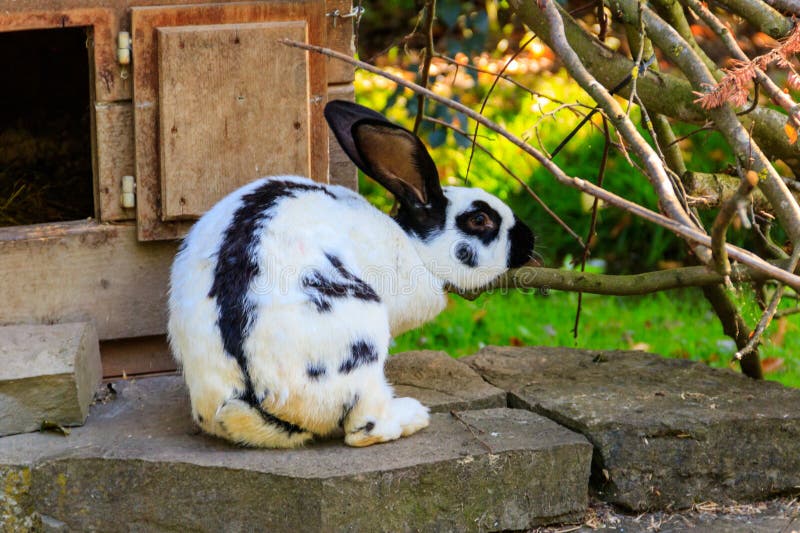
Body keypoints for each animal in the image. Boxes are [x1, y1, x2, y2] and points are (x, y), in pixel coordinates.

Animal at [168, 100, 535, 448]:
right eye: (479, 220)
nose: (529, 239)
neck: (413, 245)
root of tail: (252, 402)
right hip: (365, 342)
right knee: (362, 429)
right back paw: (413, 415)